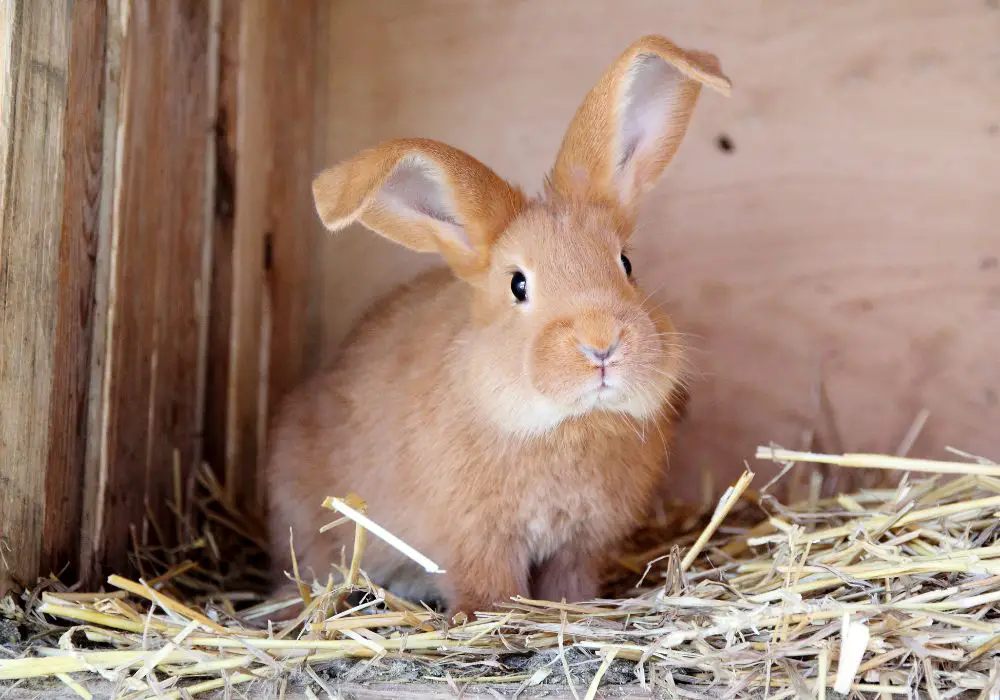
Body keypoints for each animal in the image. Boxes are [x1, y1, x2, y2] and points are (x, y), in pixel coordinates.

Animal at [270, 35, 732, 620]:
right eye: (518, 284)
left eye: (626, 263)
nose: (601, 345)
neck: (566, 424)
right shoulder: (476, 539)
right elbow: (489, 587)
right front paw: (494, 615)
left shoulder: (581, 544)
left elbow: (570, 582)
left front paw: (573, 608)